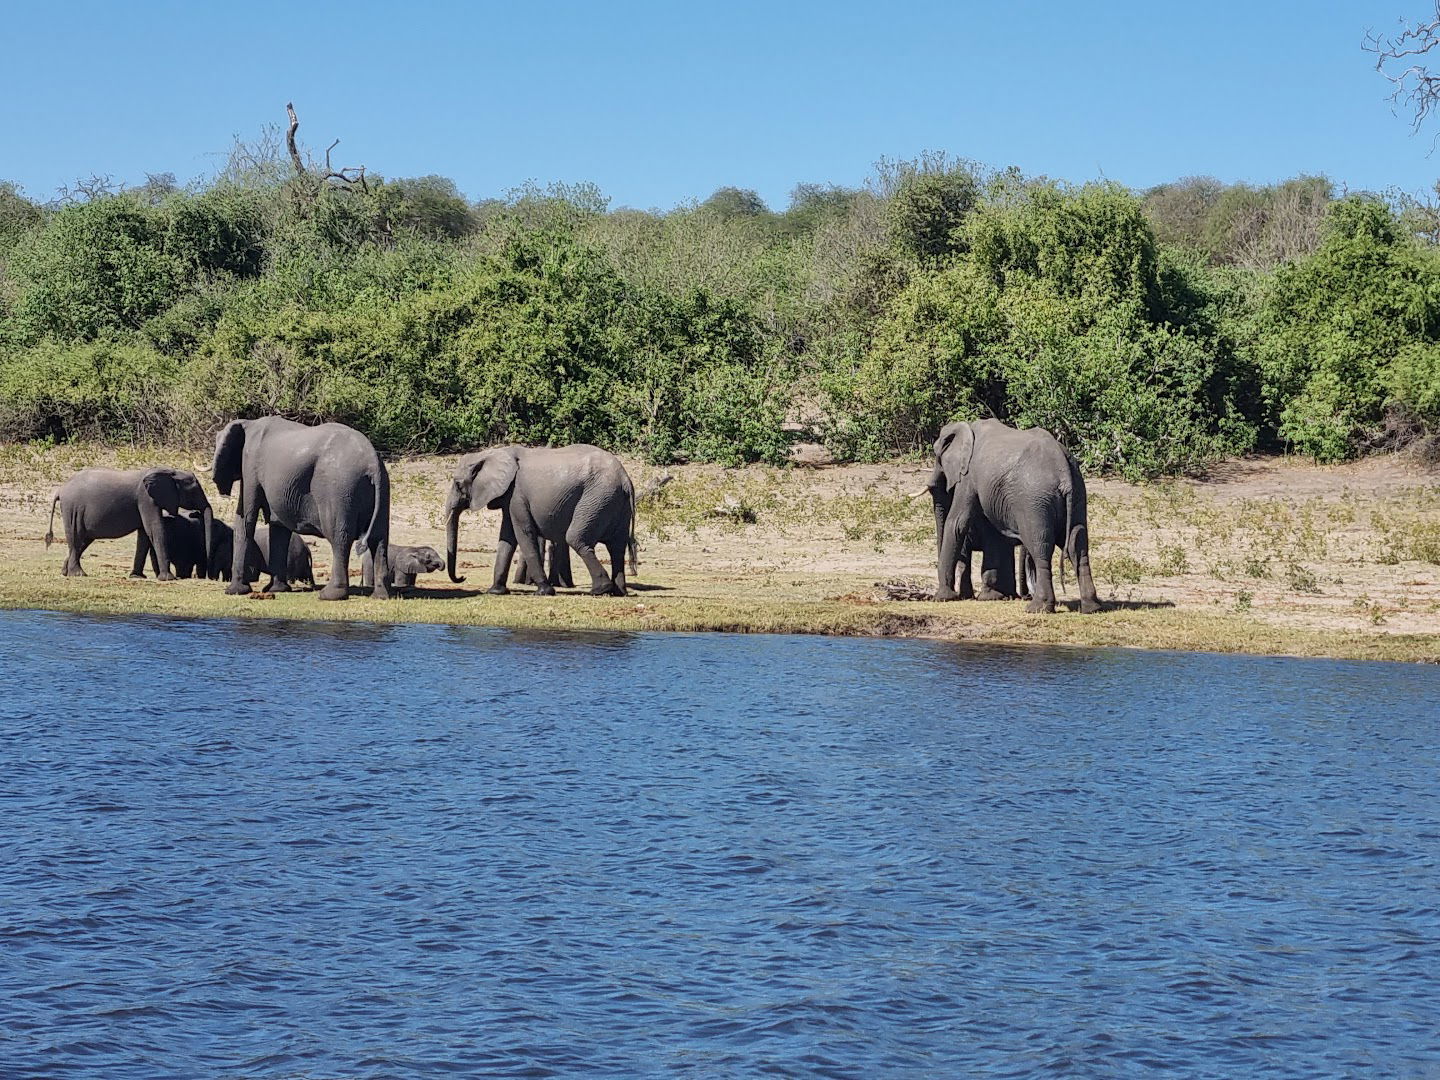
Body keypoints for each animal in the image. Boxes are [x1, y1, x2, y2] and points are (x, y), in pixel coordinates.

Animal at [44, 466, 210, 578]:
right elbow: (154, 528)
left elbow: (144, 535)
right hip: (72, 509)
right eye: (194, 491)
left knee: (82, 540)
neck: (168, 471)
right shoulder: (146, 499)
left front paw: (137, 577)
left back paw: (65, 572)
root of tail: (60, 490)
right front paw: (168, 579)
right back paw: (78, 574)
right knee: (76, 537)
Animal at [208, 417, 388, 601]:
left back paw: (329, 595)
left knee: (339, 538)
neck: (248, 423)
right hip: (381, 488)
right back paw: (380, 596)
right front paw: (277, 590)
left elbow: (246, 519)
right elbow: (278, 527)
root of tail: (372, 463)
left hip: (339, 489)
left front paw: (234, 591)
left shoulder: (250, 464)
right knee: (379, 539)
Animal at [443, 446, 636, 601]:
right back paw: (618, 592)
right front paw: (495, 591)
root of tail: (626, 480)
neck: (491, 453)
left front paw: (543, 592)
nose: (462, 577)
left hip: (597, 498)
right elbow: (507, 537)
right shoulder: (510, 496)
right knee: (616, 547)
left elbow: (523, 534)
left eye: (458, 484)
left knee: (576, 539)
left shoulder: (517, 495)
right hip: (614, 503)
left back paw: (599, 590)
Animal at [921, 417, 1100, 613]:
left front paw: (942, 598)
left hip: (1034, 501)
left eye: (937, 455)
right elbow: (991, 533)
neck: (967, 426)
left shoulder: (968, 475)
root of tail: (1064, 469)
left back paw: (1037, 608)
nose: (935, 484)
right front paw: (991, 598)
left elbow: (957, 523)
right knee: (1078, 542)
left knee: (1040, 546)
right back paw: (1091, 607)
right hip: (1078, 493)